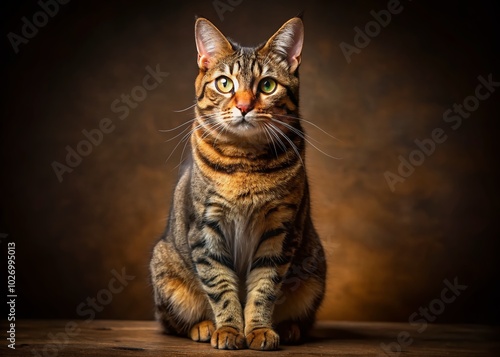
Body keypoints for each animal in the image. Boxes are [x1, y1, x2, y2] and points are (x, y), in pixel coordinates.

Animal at [148, 15, 326, 350]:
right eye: (224, 83)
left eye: (267, 85)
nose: (244, 106)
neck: (246, 162)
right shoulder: (206, 229)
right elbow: (220, 286)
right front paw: (230, 330)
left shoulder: (280, 230)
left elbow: (264, 287)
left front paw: (258, 329)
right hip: (164, 268)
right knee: (171, 322)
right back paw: (203, 327)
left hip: (314, 268)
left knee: (304, 319)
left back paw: (289, 329)